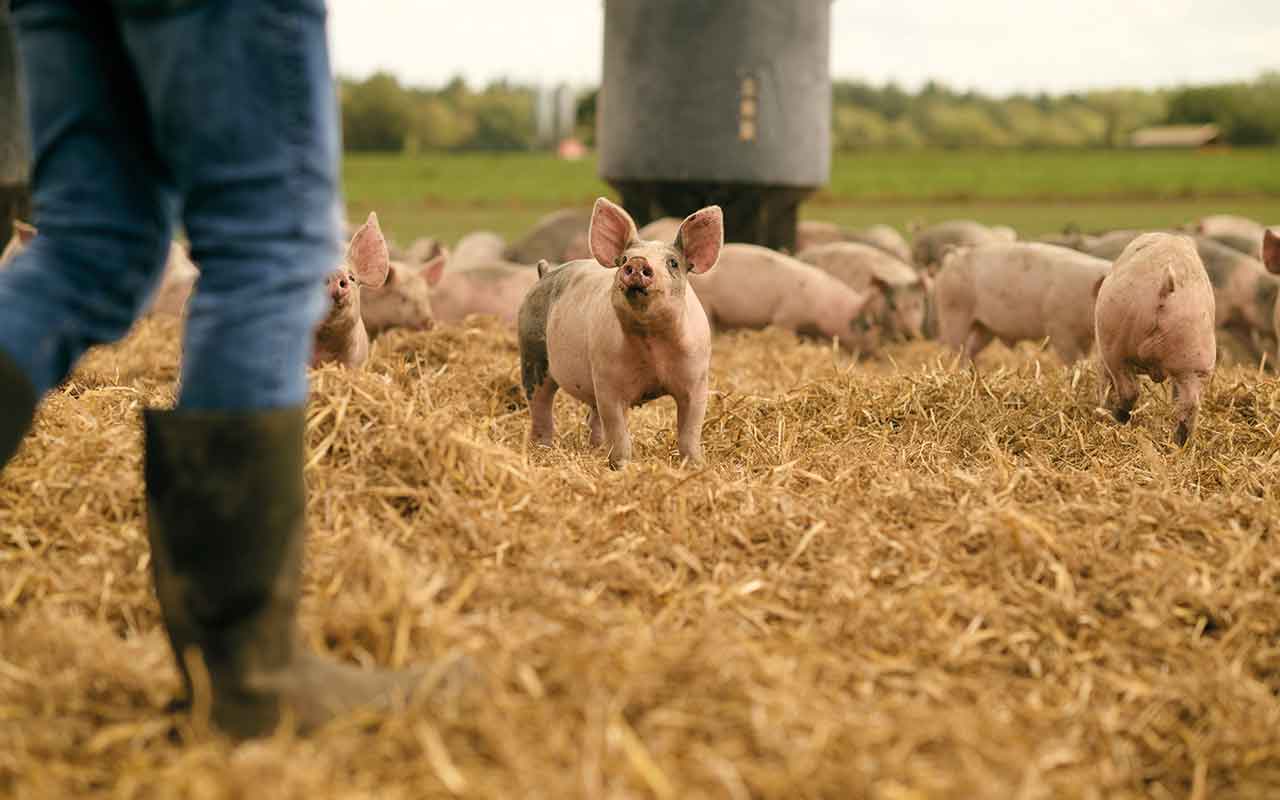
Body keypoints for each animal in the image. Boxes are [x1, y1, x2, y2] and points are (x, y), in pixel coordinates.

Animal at [517, 197, 723, 469]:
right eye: (624, 258)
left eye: (673, 263)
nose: (636, 263)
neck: (652, 342)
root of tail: (544, 272)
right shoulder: (608, 381)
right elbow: (618, 432)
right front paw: (623, 467)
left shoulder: (697, 380)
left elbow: (690, 431)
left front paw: (696, 466)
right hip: (532, 354)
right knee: (541, 406)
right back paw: (542, 449)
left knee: (592, 417)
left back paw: (595, 449)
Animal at [935, 242, 1110, 365]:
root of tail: (955, 255)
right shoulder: (1058, 328)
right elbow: (1073, 361)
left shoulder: (1084, 338)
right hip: (953, 313)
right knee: (958, 352)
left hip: (984, 328)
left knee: (970, 351)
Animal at [1095, 233, 1216, 445]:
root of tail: (1167, 291)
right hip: (1194, 354)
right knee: (1191, 402)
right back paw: (1181, 443)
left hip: (1114, 344)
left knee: (1129, 389)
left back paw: (1117, 416)